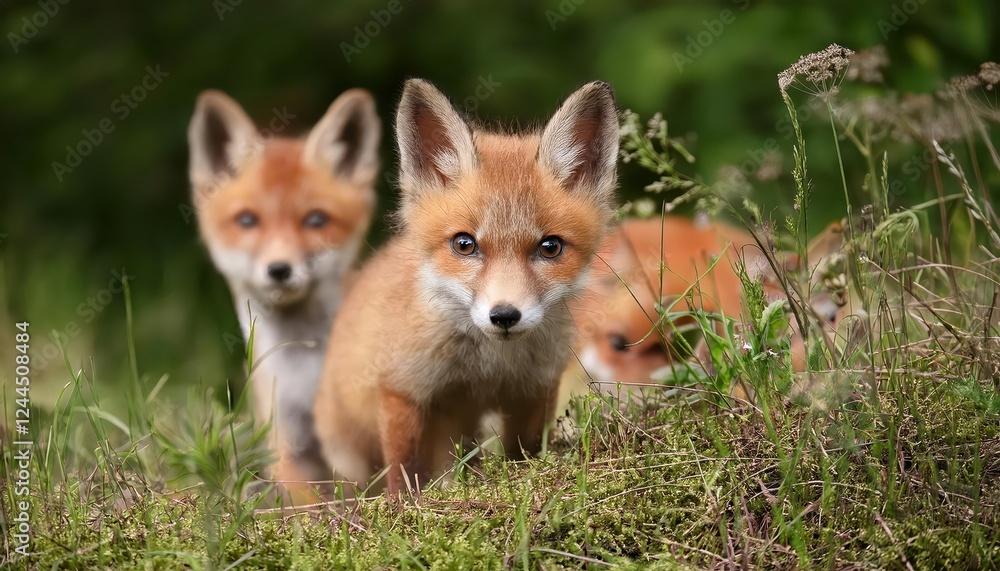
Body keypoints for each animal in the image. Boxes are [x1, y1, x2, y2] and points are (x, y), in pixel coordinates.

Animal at [187, 88, 380, 501]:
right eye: (247, 220)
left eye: (316, 220)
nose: (279, 269)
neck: (305, 369)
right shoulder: (287, 444)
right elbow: (305, 506)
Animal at [312, 78, 620, 495]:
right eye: (464, 244)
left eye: (550, 247)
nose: (504, 315)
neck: (488, 368)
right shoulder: (401, 388)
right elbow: (404, 471)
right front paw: (404, 506)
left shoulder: (535, 390)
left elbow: (526, 455)